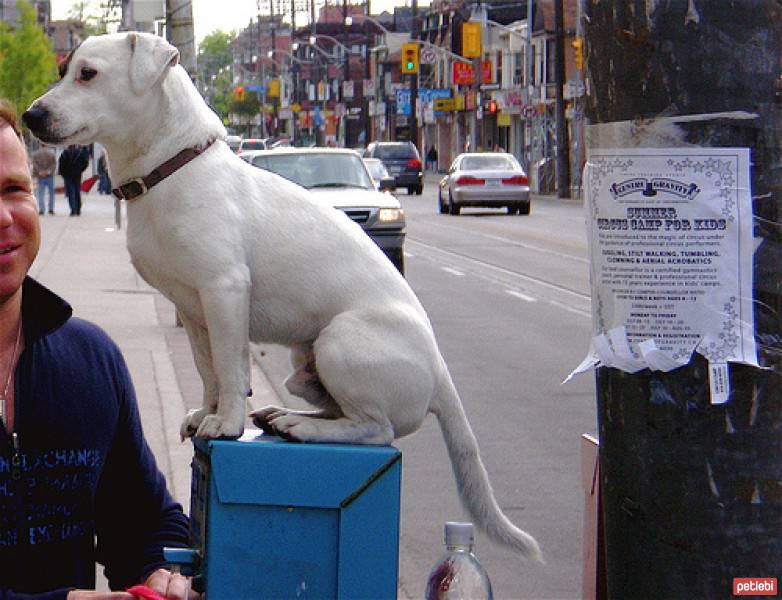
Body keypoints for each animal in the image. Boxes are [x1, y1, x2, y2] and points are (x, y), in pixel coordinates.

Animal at [21, 31, 544, 556]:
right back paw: (283, 415)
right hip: (303, 363)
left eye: (88, 74)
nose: (30, 116)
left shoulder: (225, 290)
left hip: (341, 341)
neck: (171, 169)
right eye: (64, 70)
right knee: (340, 410)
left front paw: (227, 423)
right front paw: (207, 413)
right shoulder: (192, 308)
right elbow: (209, 371)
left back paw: (301, 425)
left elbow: (232, 369)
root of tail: (439, 372)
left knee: (375, 428)